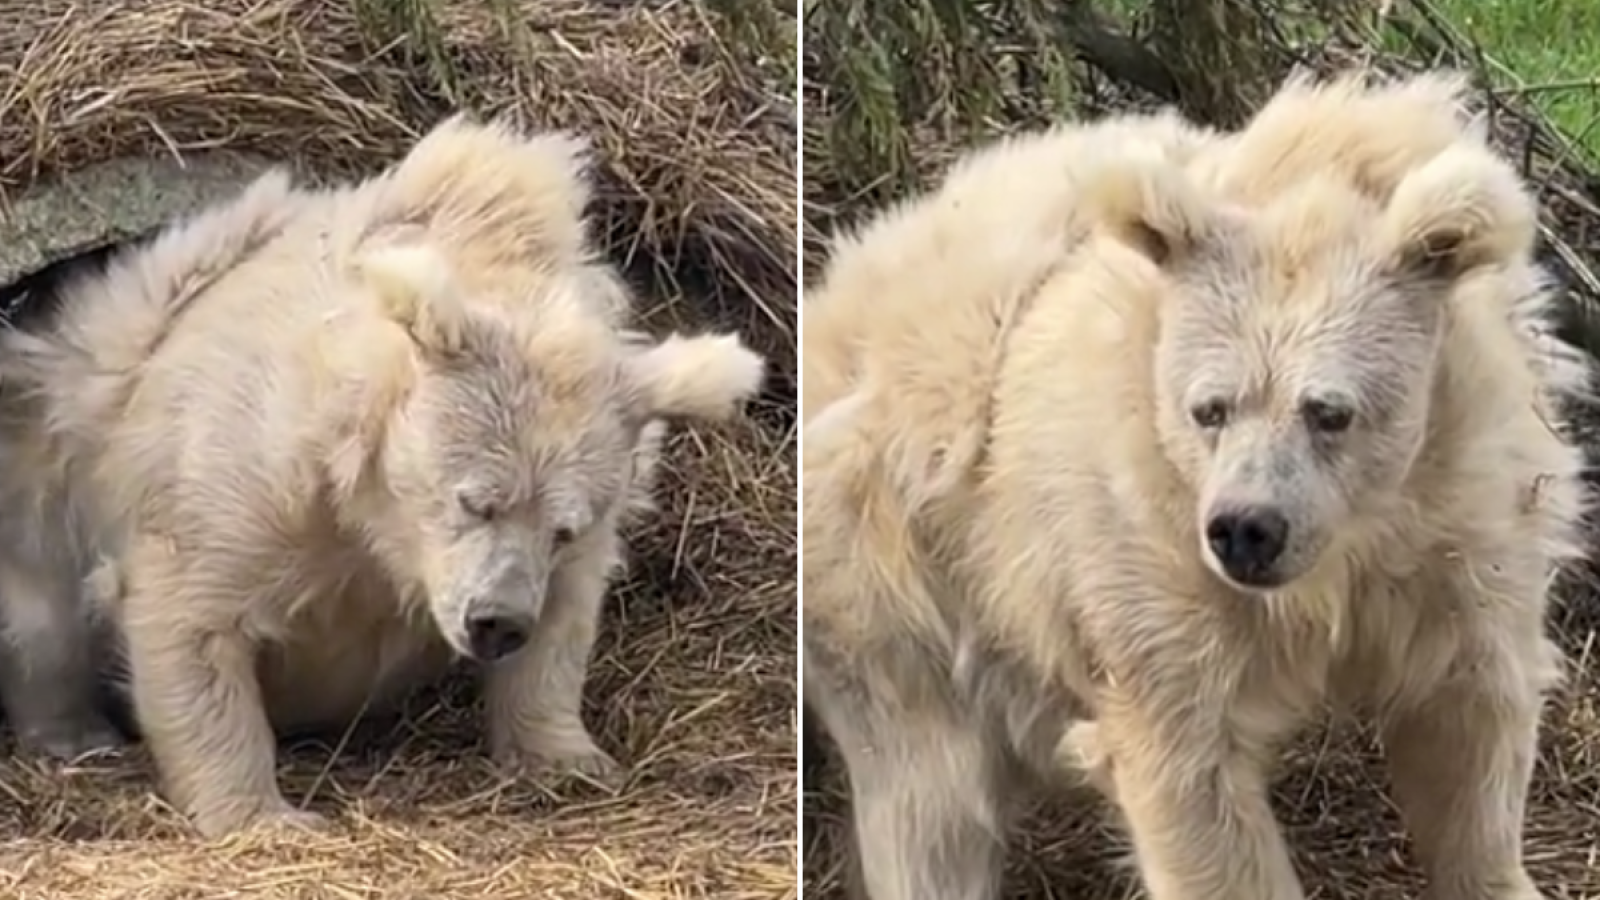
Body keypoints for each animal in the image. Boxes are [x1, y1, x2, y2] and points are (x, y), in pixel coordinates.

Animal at [0, 115, 767, 838]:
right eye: (475, 500)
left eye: (562, 529)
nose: (495, 623)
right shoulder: (253, 475)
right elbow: (192, 615)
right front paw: (266, 817)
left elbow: (562, 626)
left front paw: (569, 758)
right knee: (42, 627)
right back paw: (76, 734)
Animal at [801, 72, 1585, 900]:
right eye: (1209, 407)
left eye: (1329, 411)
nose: (1247, 528)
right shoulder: (1147, 558)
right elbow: (1189, 778)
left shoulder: (1471, 524)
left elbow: (1469, 726)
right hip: (892, 580)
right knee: (930, 802)